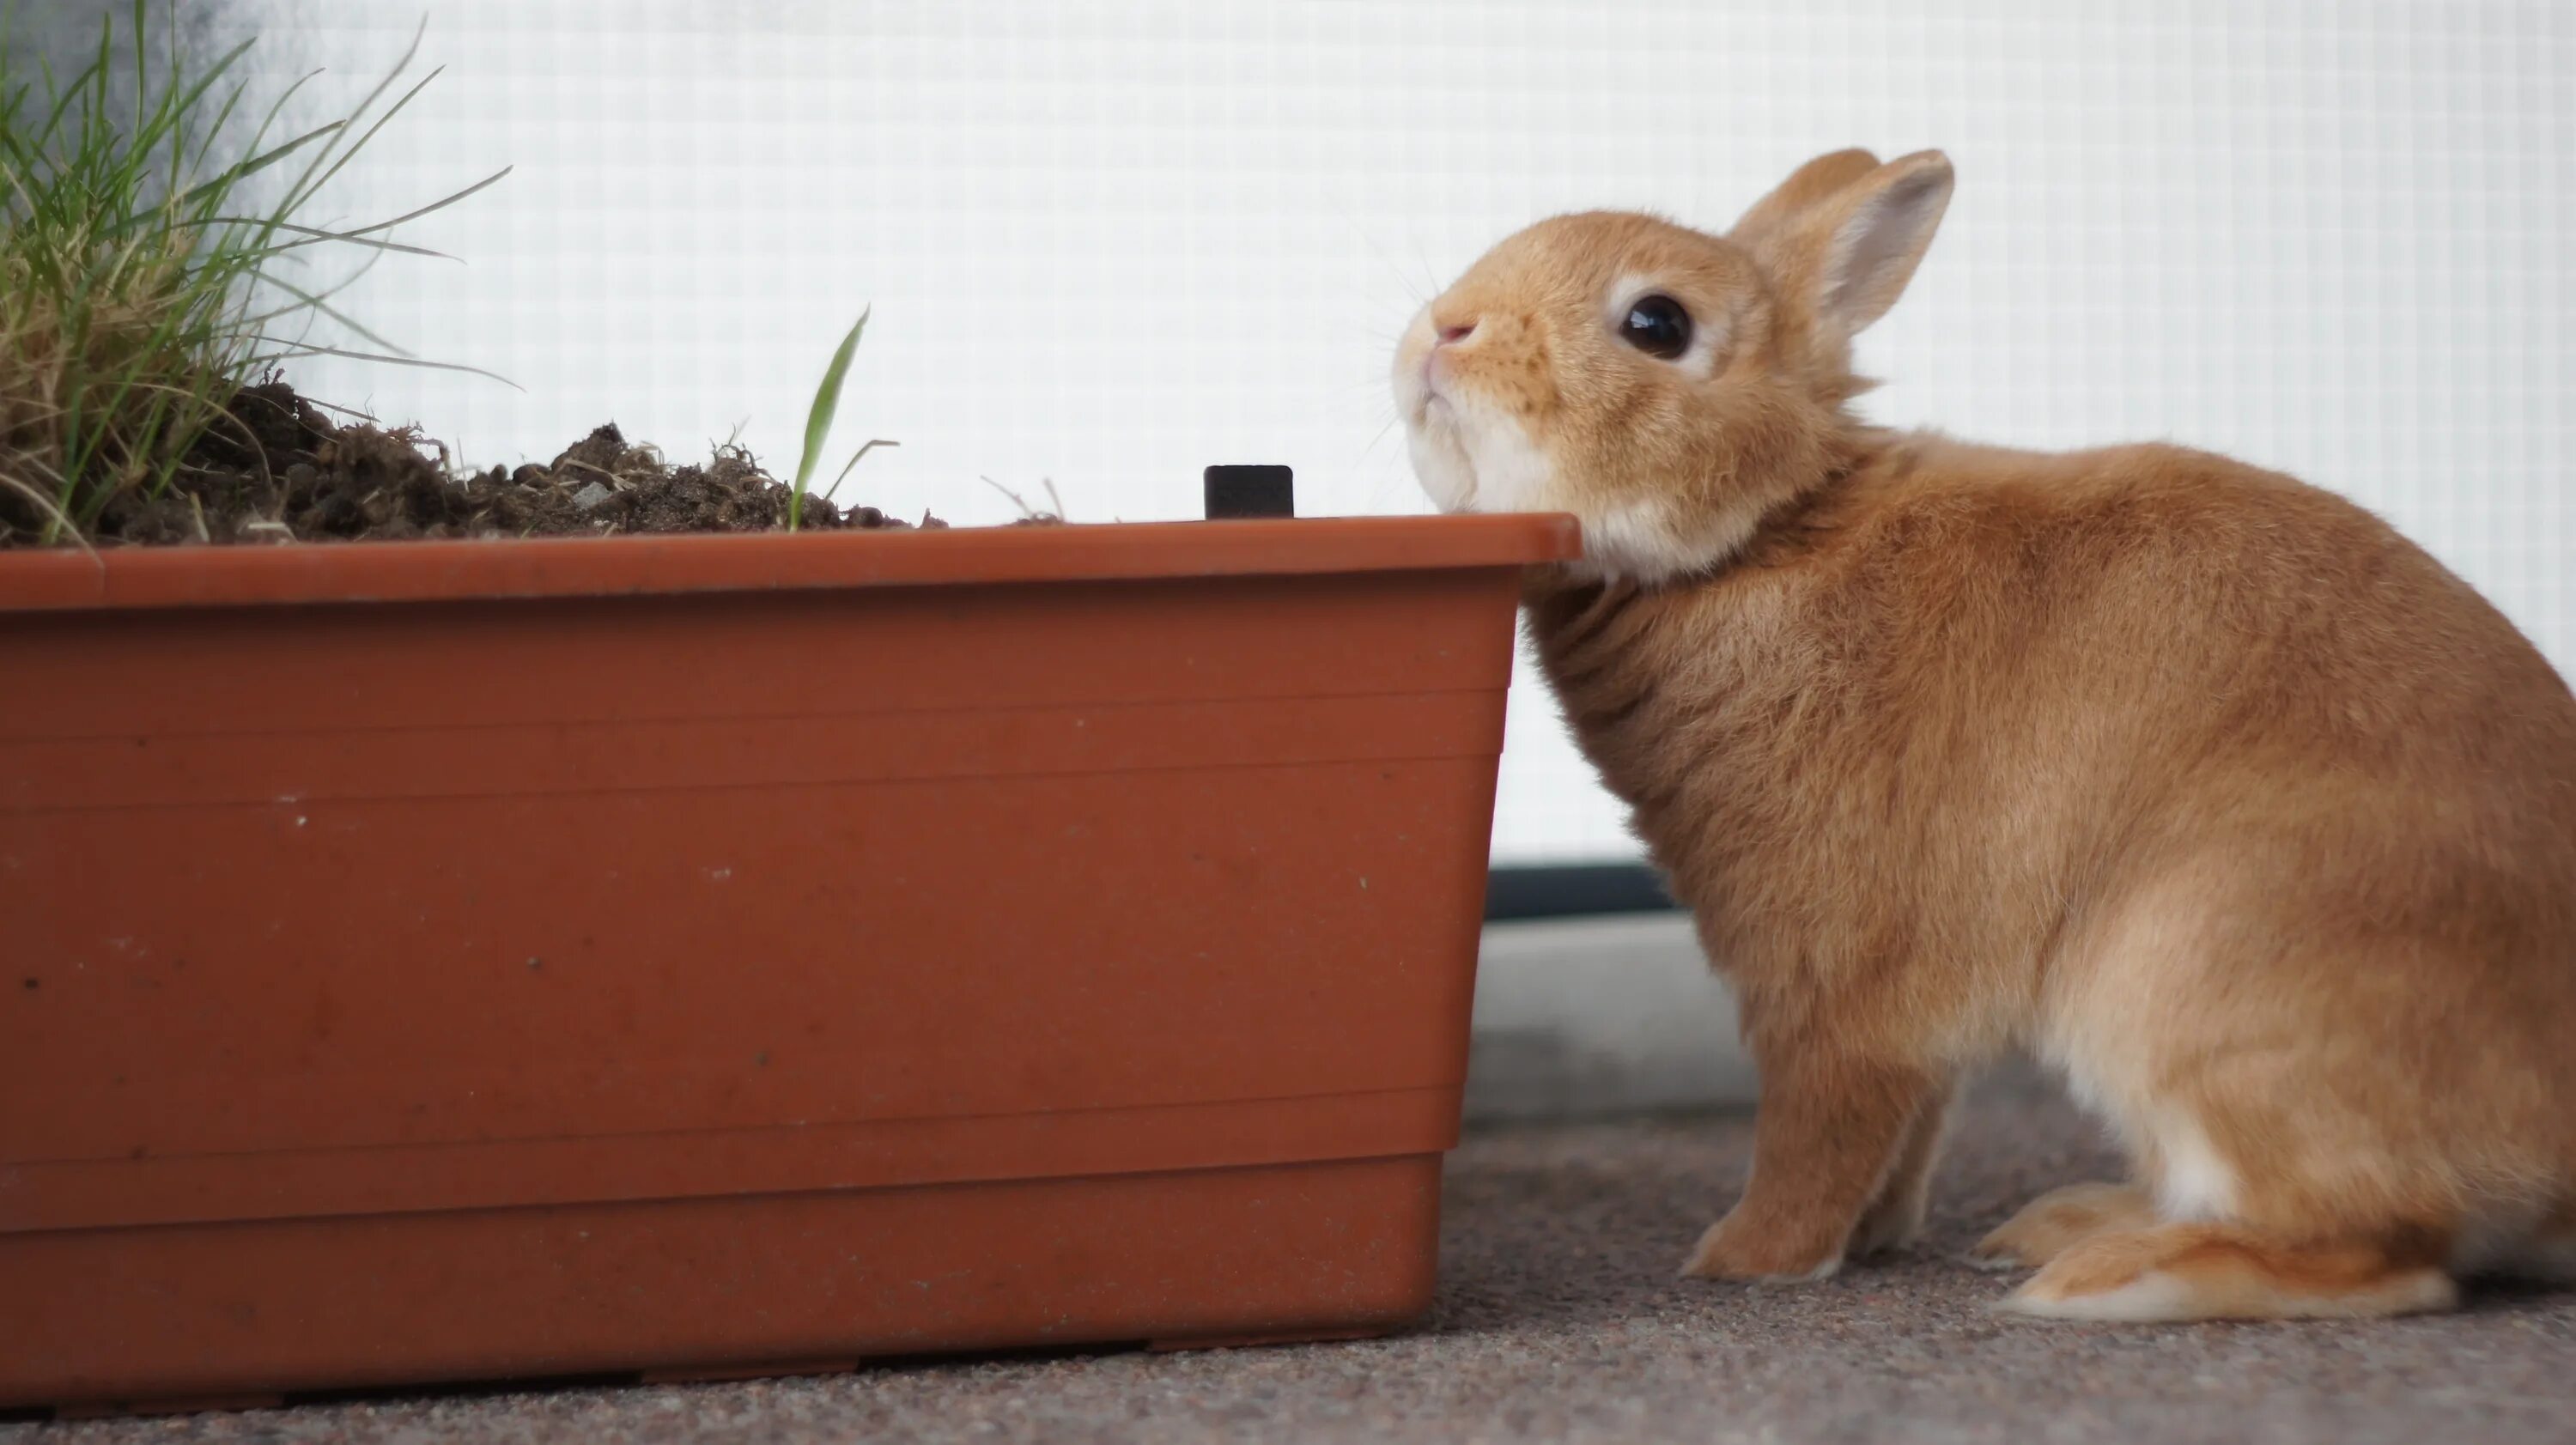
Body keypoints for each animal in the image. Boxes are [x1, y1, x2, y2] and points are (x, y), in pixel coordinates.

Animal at [1401, 149, 2576, 1319]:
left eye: (1657, 323)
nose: (1443, 328)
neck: (1761, 538)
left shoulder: (1830, 981)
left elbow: (1818, 1128)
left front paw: (1744, 1258)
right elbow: (1911, 1128)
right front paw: (1876, 1237)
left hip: (2191, 981)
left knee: (2385, 1253)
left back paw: (2103, 1278)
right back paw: (2071, 1224)